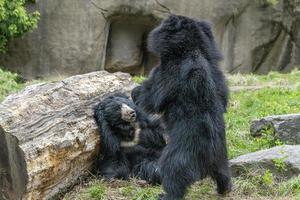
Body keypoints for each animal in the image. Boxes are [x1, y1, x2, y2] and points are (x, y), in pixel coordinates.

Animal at [132, 14, 232, 200]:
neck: (192, 47)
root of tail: (209, 157)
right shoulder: (218, 74)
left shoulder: (170, 71)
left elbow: (154, 94)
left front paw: (136, 92)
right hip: (222, 157)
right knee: (223, 173)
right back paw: (225, 188)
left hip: (181, 154)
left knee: (173, 173)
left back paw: (165, 195)